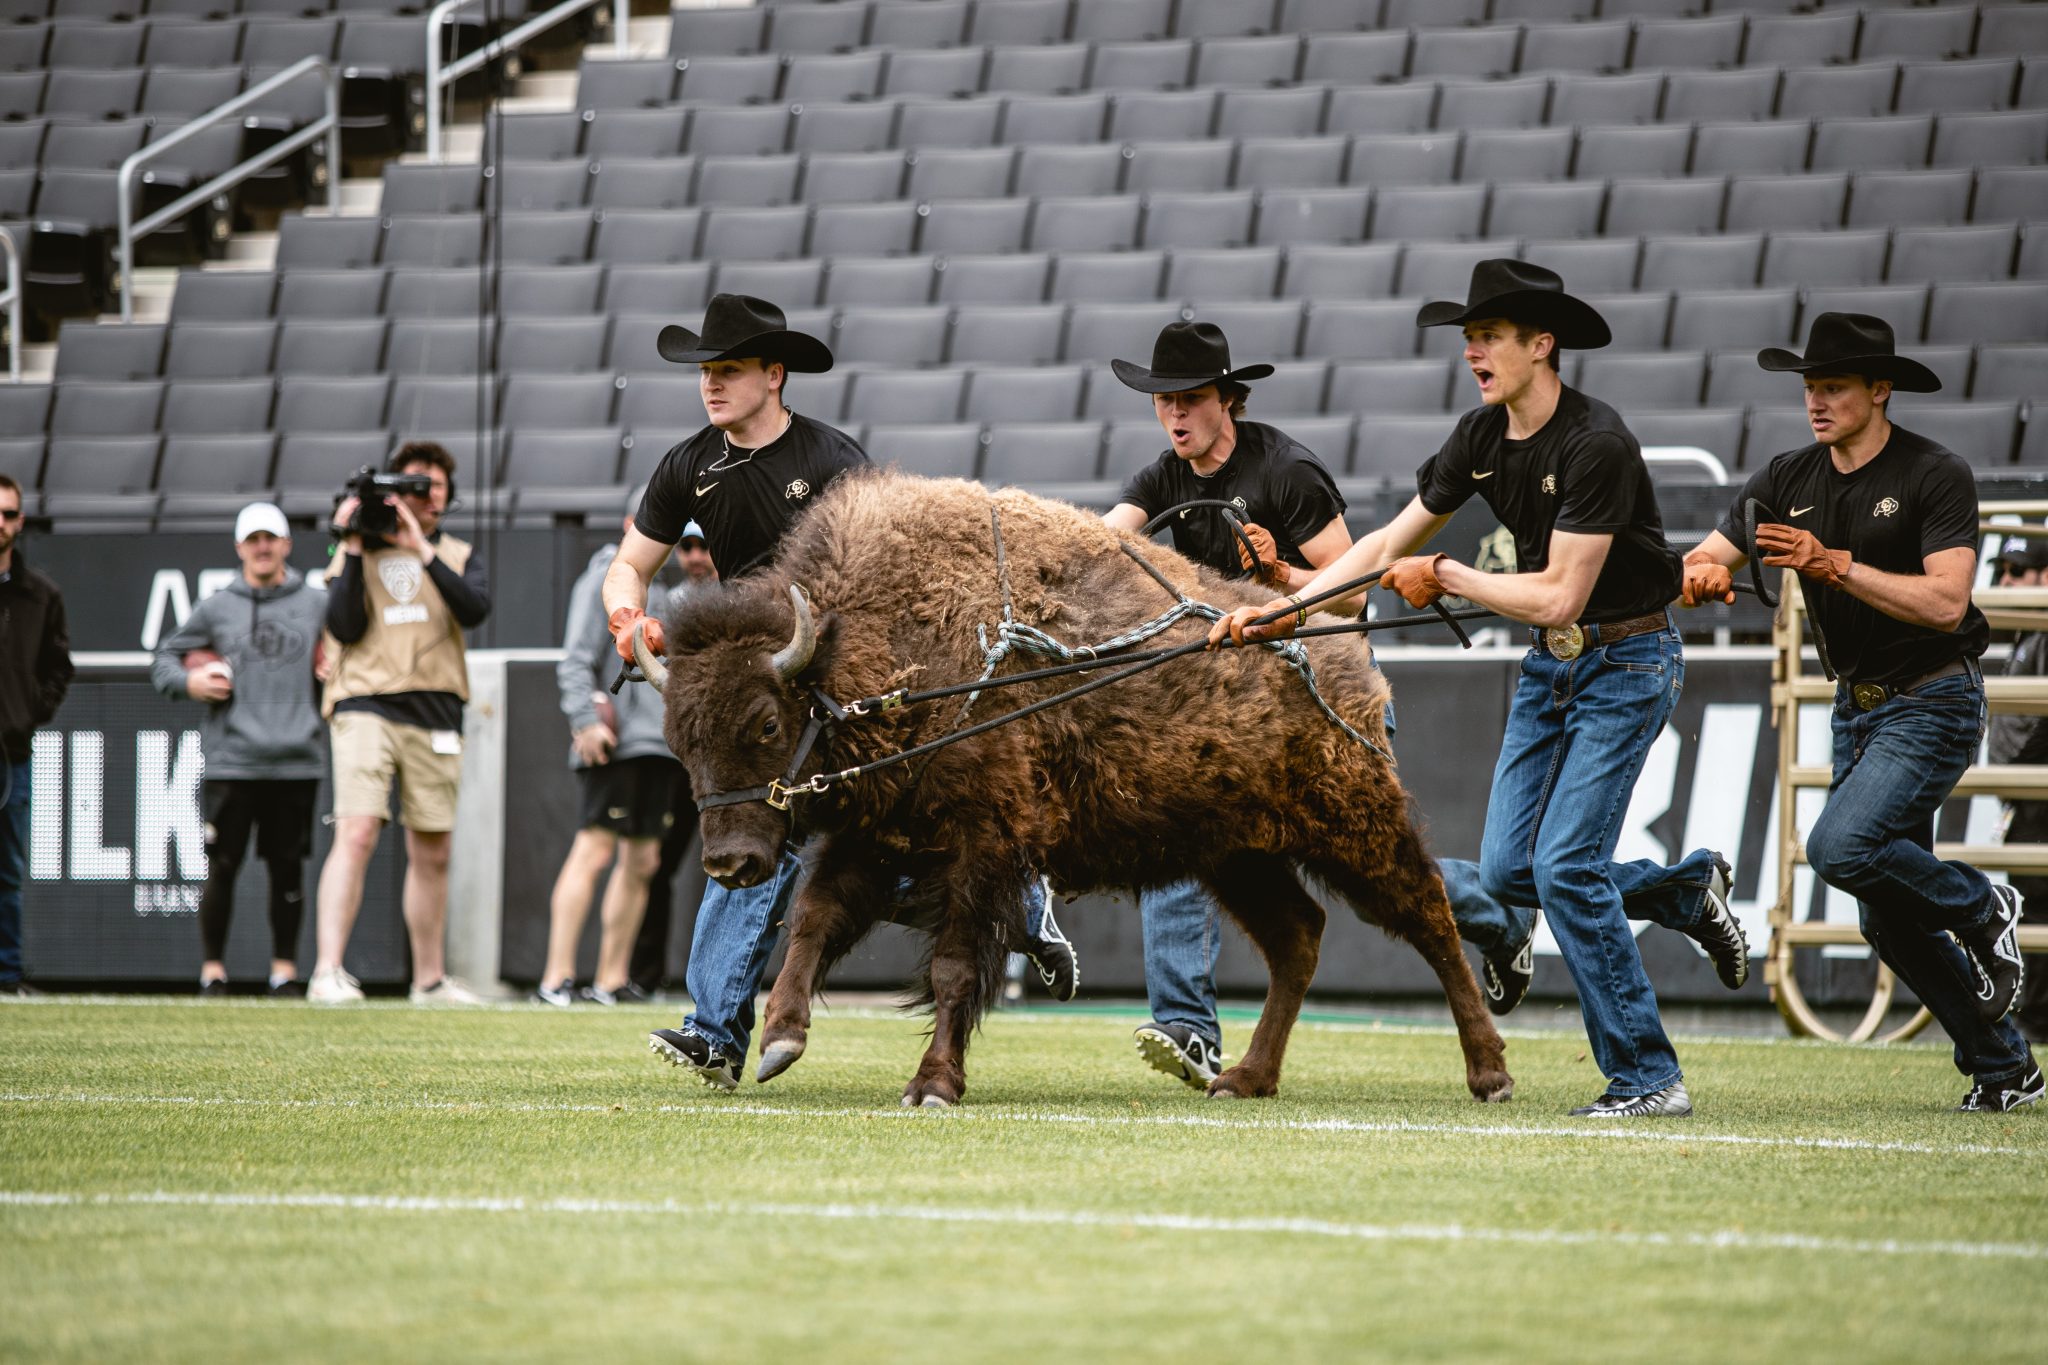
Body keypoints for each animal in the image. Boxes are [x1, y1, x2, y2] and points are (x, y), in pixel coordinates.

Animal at [630, 470, 1515, 1113]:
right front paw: (780, 1041)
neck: (882, 641)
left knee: (1430, 915)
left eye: (765, 721)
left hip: (1353, 826)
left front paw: (932, 1085)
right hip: (1237, 852)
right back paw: (1245, 1079)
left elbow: (951, 967)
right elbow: (813, 920)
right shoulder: (880, 835)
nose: (732, 863)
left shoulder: (982, 848)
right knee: (1298, 936)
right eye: (679, 737)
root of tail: (1343, 646)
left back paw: (1490, 1072)